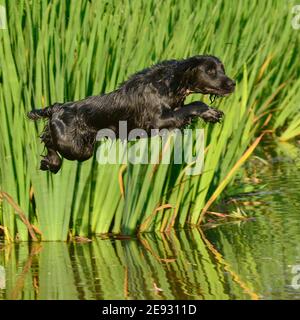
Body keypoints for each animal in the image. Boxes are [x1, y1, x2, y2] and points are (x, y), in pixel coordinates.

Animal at [27, 56, 234, 174]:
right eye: (210, 71)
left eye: (222, 69)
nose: (233, 84)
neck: (170, 82)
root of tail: (56, 108)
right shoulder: (157, 120)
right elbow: (196, 103)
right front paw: (209, 111)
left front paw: (211, 114)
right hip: (77, 148)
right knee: (51, 142)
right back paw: (51, 162)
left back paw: (49, 163)